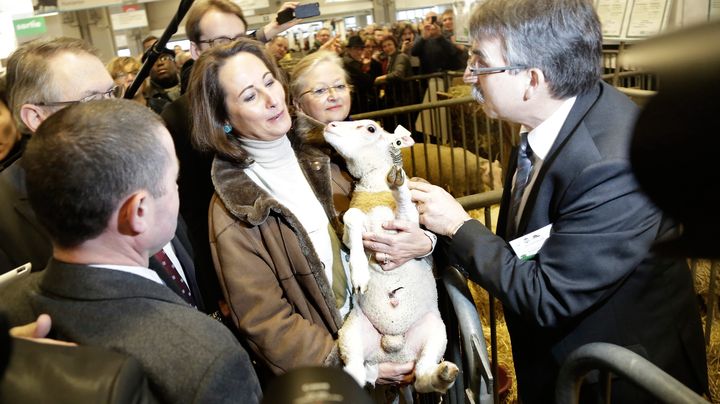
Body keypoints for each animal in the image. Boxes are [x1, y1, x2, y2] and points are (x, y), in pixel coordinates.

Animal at [324, 120, 458, 394]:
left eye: (370, 129)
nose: (329, 125)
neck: (375, 189)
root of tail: (393, 350)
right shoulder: (353, 230)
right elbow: (351, 217)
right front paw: (359, 273)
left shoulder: (408, 224)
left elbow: (405, 205)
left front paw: (399, 182)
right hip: (351, 333)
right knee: (357, 371)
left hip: (436, 332)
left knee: (423, 376)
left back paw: (443, 375)